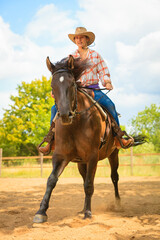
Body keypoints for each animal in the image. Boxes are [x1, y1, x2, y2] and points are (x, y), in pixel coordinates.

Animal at [33, 54, 146, 223]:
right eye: (53, 86)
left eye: (72, 84)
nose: (65, 115)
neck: (75, 125)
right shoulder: (60, 155)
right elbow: (51, 180)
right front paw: (41, 212)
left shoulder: (92, 156)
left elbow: (89, 184)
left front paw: (88, 213)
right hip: (81, 162)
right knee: (84, 178)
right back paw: (82, 208)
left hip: (113, 154)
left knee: (114, 177)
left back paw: (117, 204)